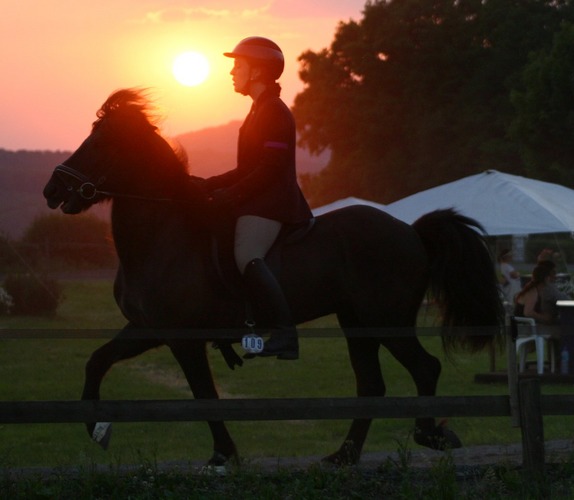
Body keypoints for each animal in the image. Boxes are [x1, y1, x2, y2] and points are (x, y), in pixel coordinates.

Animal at [42, 89, 506, 468]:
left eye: (101, 142)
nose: (52, 190)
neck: (163, 234)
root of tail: (411, 230)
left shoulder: (184, 338)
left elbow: (204, 396)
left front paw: (222, 455)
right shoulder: (148, 329)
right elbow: (97, 360)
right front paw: (96, 429)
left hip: (386, 320)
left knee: (425, 367)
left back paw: (429, 435)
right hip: (356, 322)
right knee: (372, 384)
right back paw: (344, 455)